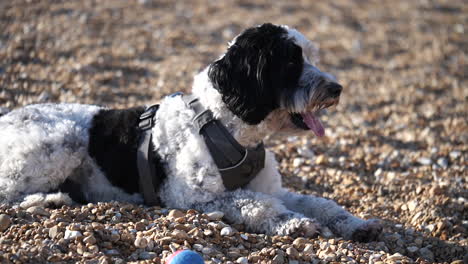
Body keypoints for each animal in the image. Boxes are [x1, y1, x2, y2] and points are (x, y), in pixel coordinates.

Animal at [0, 24, 380, 241]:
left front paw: (356, 224)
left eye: (310, 57)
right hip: (56, 145)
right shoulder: (191, 197)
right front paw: (294, 224)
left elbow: (320, 203)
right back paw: (50, 200)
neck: (227, 129)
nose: (337, 89)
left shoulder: (273, 188)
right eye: (290, 61)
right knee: (7, 194)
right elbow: (255, 203)